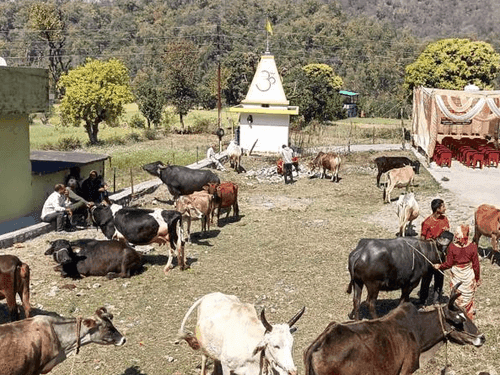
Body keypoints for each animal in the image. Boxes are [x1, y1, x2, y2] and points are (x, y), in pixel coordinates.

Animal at [178, 294, 306, 375]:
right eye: (276, 346)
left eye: (291, 344)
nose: (293, 371)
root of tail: (210, 295)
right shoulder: (227, 366)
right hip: (204, 349)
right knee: (204, 360)